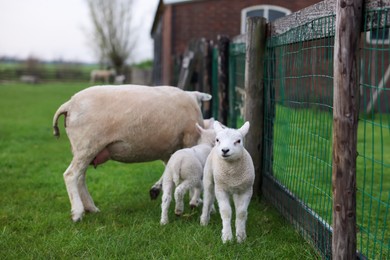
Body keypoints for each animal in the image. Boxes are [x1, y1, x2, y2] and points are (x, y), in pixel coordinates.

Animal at [52, 84, 212, 221]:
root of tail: (69, 104)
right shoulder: (189, 140)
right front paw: (195, 200)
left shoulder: (169, 151)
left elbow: (168, 171)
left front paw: (156, 189)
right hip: (88, 145)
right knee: (71, 175)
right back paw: (77, 212)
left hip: (83, 149)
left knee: (80, 178)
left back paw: (91, 208)